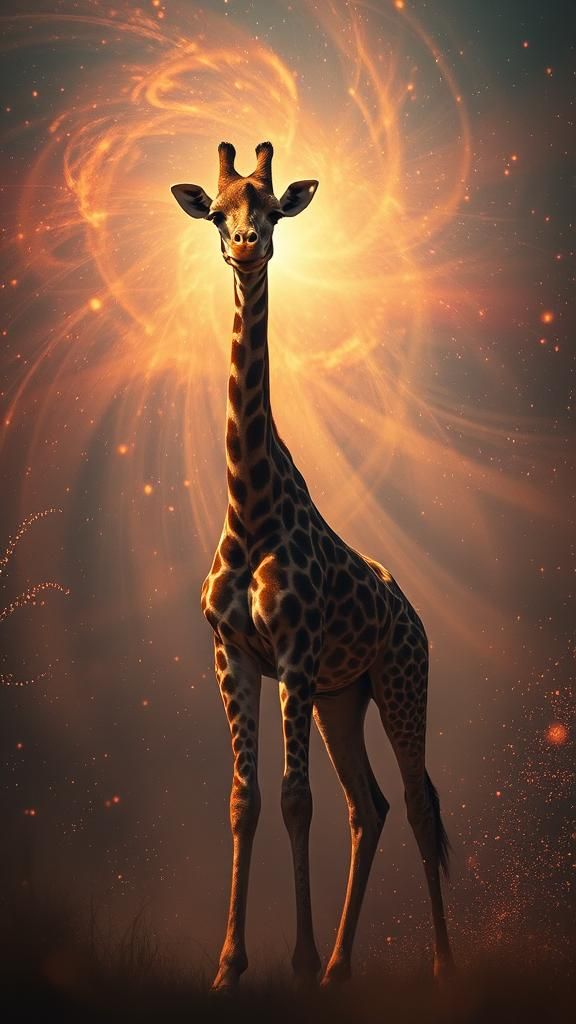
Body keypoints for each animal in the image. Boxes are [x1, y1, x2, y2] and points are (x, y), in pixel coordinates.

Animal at [171, 141, 454, 991]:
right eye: (217, 214)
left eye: (269, 212)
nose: (245, 248)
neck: (248, 509)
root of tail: (415, 615)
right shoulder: (234, 654)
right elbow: (247, 800)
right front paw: (231, 966)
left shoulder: (293, 656)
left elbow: (297, 799)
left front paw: (291, 960)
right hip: (343, 697)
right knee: (372, 807)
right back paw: (338, 966)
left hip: (399, 681)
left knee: (416, 803)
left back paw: (440, 967)